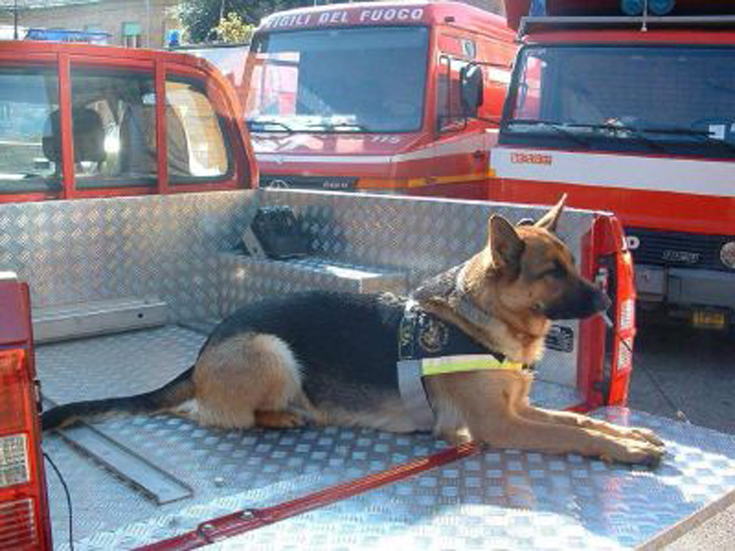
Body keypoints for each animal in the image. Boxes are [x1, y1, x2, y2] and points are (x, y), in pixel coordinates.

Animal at [44, 198, 668, 466]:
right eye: (552, 273)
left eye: (574, 264)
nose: (607, 298)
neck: (484, 318)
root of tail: (205, 347)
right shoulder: (501, 426)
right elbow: (574, 434)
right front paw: (622, 449)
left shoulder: (519, 411)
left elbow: (574, 420)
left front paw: (631, 435)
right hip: (272, 350)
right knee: (211, 415)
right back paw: (285, 415)